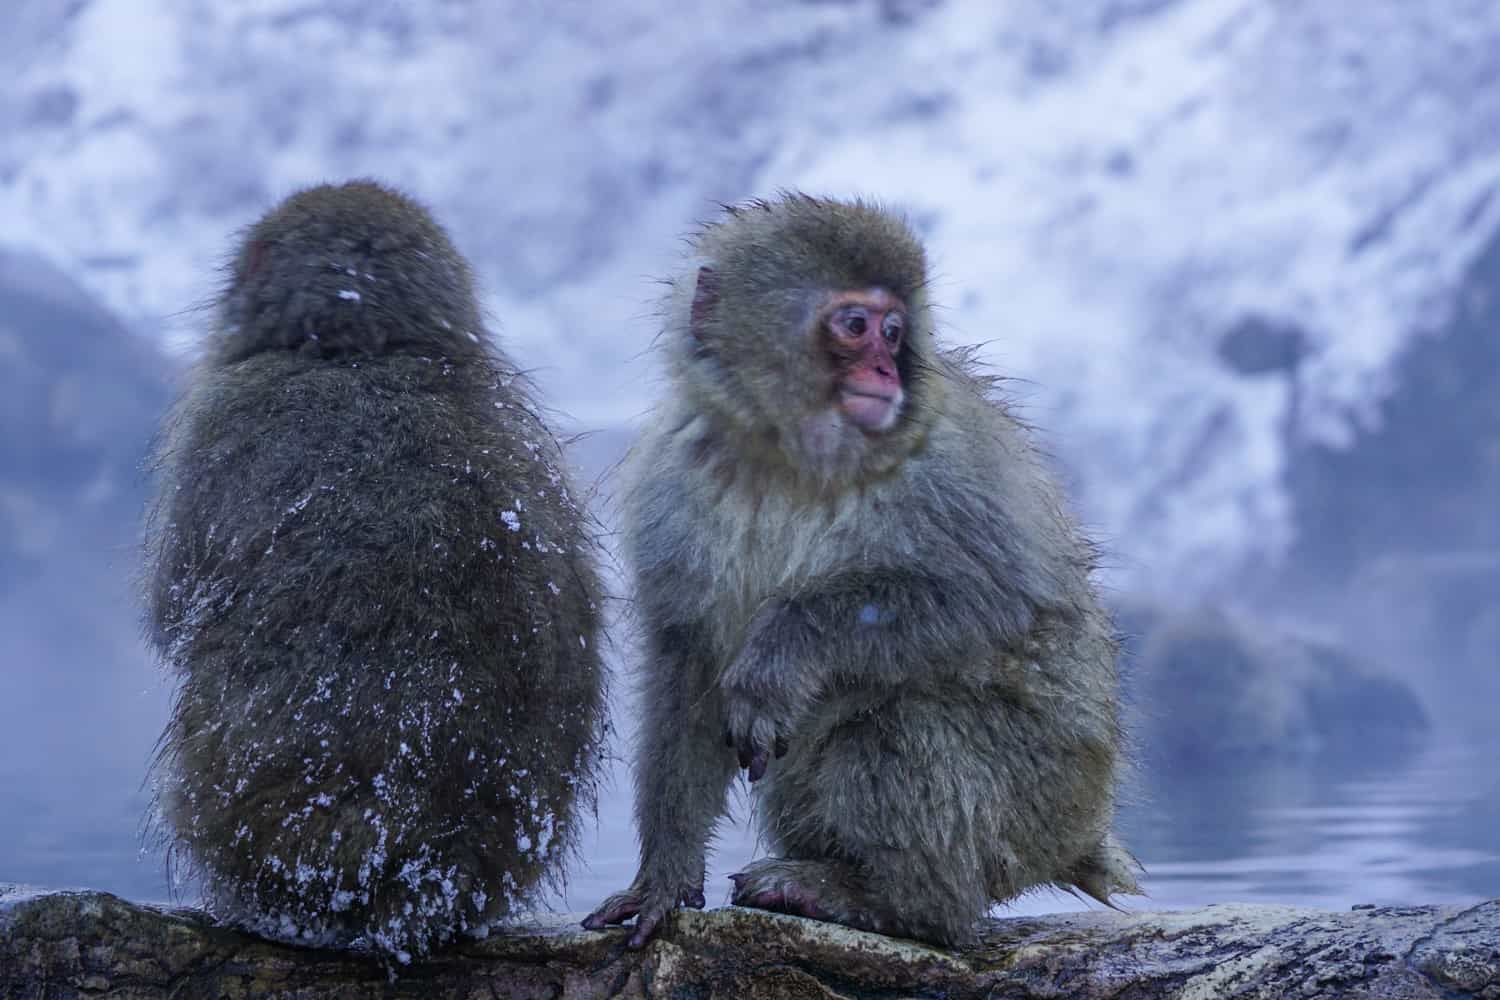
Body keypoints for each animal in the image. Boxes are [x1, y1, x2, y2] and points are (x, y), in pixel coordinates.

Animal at [585, 193, 1134, 947]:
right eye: (856, 326)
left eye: (894, 331)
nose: (886, 373)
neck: (786, 456)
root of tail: (1084, 833)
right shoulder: (672, 479)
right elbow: (686, 669)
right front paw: (663, 879)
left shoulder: (948, 464)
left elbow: (996, 601)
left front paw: (781, 646)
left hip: (1037, 804)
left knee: (895, 727)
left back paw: (894, 902)